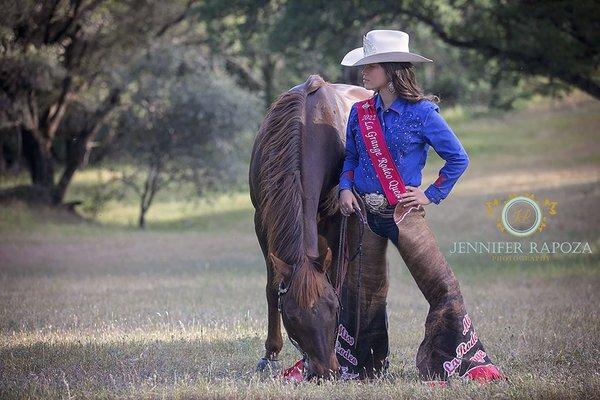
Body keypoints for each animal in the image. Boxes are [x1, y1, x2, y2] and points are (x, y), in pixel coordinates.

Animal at [247, 76, 390, 382]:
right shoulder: (261, 221)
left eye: (333, 309)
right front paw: (270, 355)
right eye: (292, 316)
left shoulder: (338, 219)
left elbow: (336, 277)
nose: (327, 371)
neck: (306, 126)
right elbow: (272, 286)